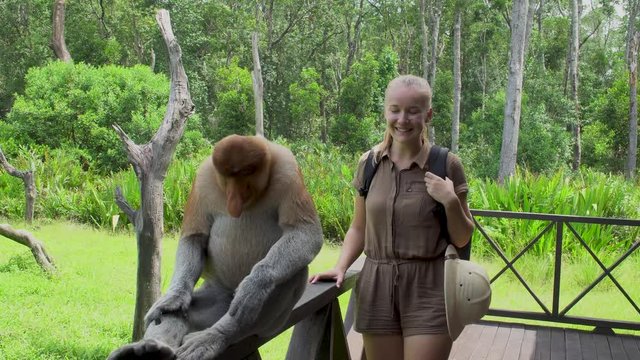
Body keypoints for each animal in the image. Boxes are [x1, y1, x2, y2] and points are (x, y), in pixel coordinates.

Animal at [108, 134, 324, 360]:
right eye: (227, 175)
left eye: (246, 173)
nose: (235, 199)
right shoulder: (204, 177)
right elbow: (194, 236)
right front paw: (173, 298)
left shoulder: (288, 171)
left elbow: (305, 232)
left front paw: (253, 286)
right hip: (215, 294)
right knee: (181, 311)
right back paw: (149, 348)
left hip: (271, 323)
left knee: (292, 275)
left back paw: (215, 336)